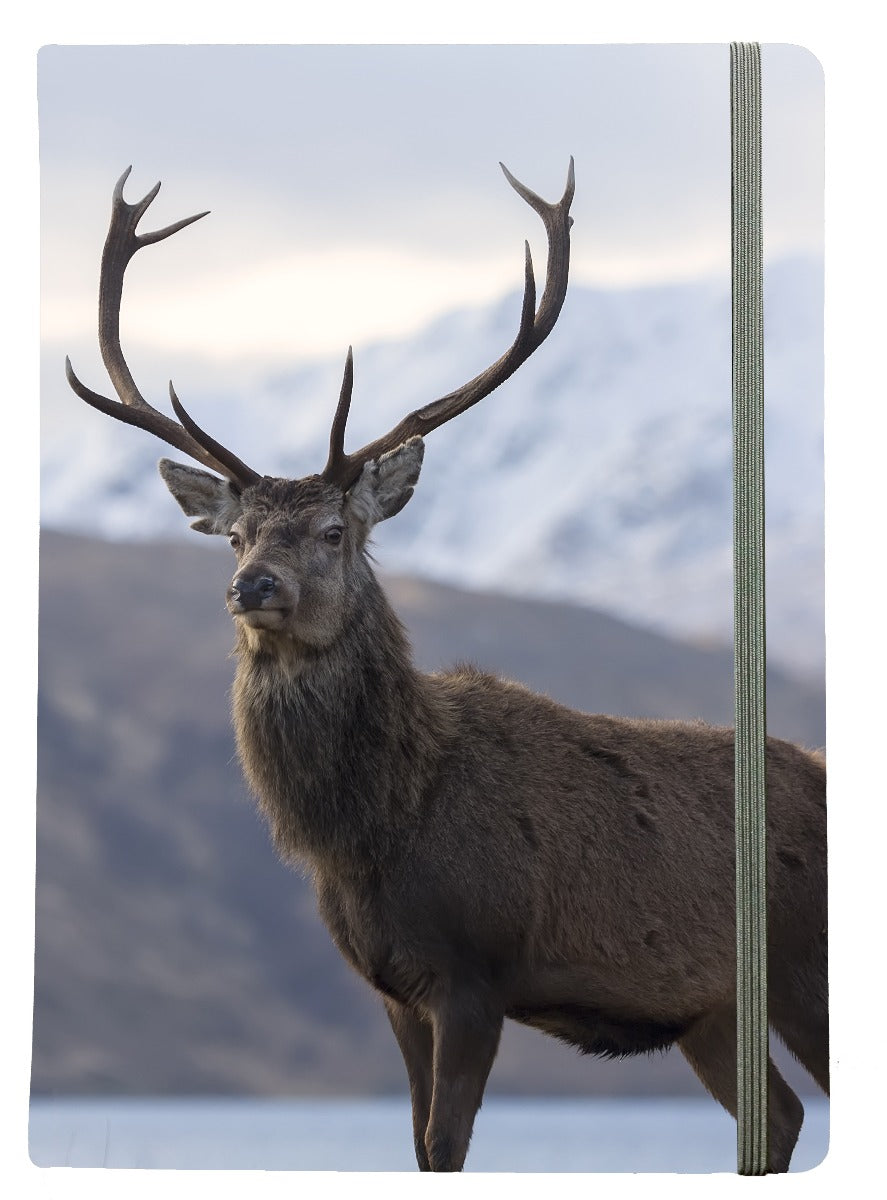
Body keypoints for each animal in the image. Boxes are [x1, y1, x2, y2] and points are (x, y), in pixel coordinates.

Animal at [64, 161, 827, 1173]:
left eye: (334, 530)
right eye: (233, 534)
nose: (251, 586)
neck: (375, 829)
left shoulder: (477, 973)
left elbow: (448, 1141)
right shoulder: (392, 987)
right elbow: (420, 1149)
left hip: (805, 965)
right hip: (710, 1007)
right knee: (776, 1116)